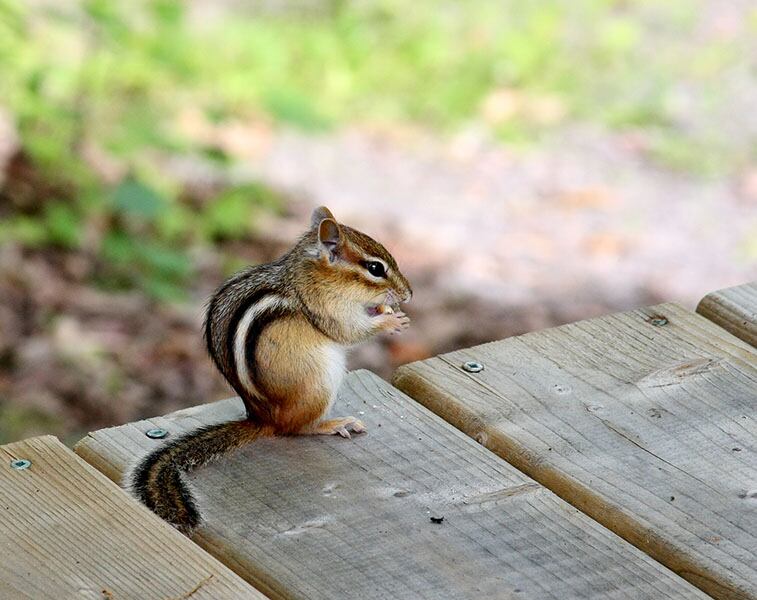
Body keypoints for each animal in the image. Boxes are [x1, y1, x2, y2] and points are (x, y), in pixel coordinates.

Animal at [130, 206, 412, 534]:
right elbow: (348, 332)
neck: (311, 273)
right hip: (320, 382)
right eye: (375, 268)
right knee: (296, 428)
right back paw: (332, 424)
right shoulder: (326, 308)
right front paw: (390, 321)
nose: (408, 294)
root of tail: (262, 418)